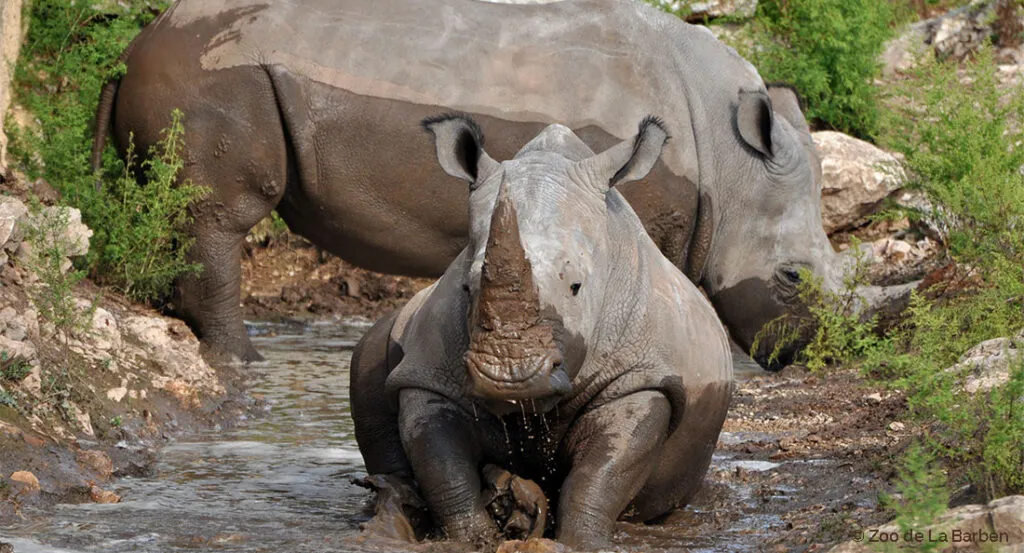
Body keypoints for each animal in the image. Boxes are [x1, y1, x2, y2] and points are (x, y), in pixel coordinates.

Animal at [93, 0, 898, 367]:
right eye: (792, 277)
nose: (830, 356)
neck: (730, 160)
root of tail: (129, 52)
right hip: (216, 80)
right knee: (222, 216)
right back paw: (242, 360)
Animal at [349, 113, 733, 549]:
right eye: (466, 288)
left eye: (576, 287)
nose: (510, 377)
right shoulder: (428, 376)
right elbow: (442, 466)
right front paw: (474, 539)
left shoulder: (641, 377)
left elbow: (602, 473)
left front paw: (580, 542)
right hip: (391, 329)